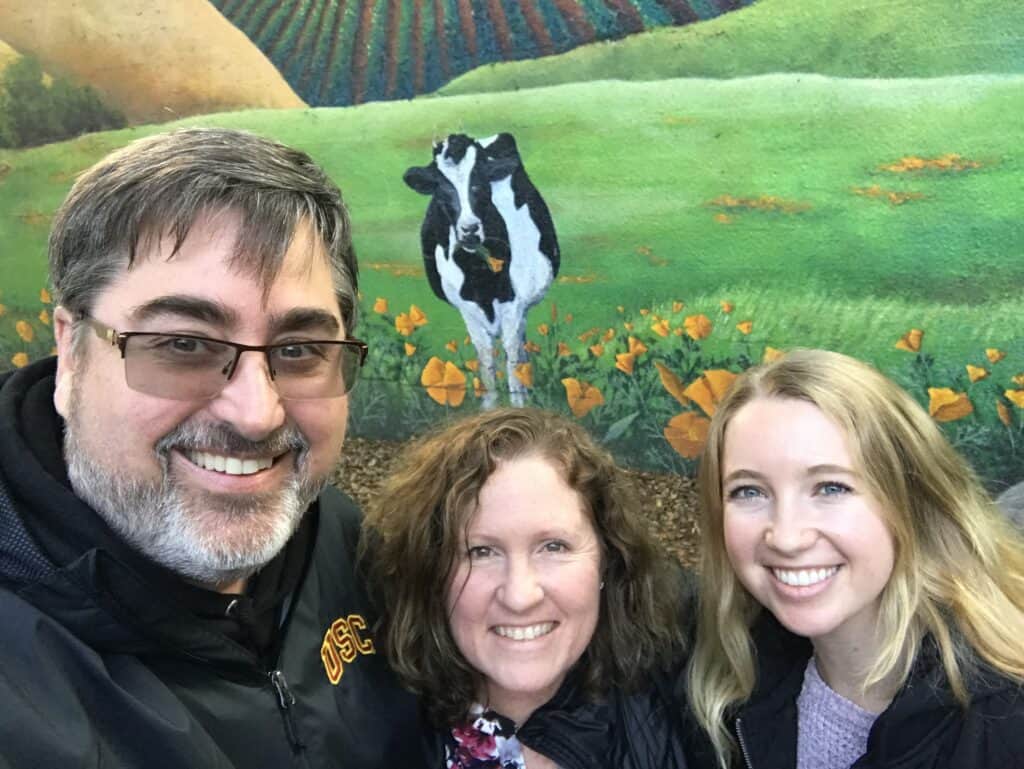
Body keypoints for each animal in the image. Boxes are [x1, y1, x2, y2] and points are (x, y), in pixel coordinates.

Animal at [401, 134, 561, 409]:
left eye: (480, 183)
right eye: (442, 188)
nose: (470, 229)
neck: (478, 276)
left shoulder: (513, 304)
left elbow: (512, 362)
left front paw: (519, 407)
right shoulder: (468, 309)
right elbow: (486, 363)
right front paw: (489, 409)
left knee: (520, 349)